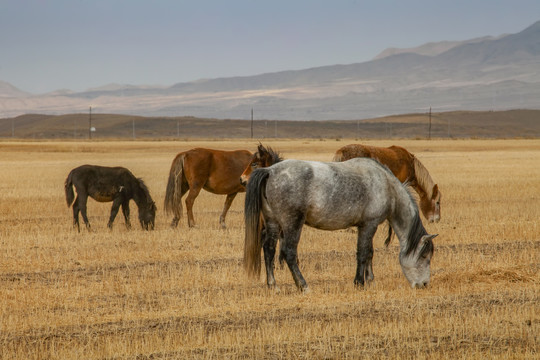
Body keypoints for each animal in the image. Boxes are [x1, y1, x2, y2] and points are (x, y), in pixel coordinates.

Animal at [243, 159, 436, 292]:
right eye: (424, 256)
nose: (424, 284)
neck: (386, 185)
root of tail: (270, 170)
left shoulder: (365, 226)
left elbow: (369, 253)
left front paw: (370, 280)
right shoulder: (369, 225)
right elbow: (363, 253)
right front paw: (359, 282)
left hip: (273, 223)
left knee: (268, 250)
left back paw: (273, 285)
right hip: (292, 224)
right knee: (288, 253)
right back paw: (303, 286)